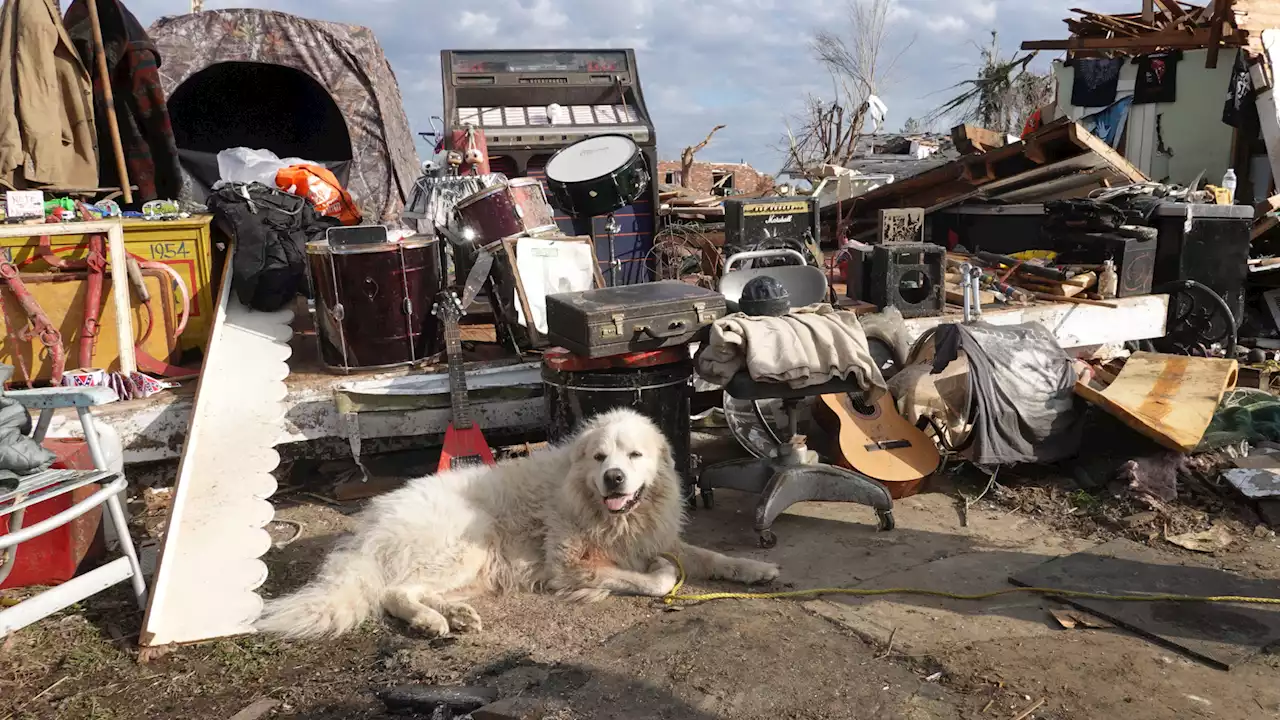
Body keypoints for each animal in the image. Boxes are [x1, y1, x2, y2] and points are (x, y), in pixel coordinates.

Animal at [257, 407, 778, 635]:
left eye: (634, 456)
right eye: (600, 457)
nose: (614, 478)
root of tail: (370, 523)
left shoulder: (653, 536)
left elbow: (710, 556)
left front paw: (755, 569)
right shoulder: (573, 566)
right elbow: (656, 579)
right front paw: (663, 574)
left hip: (475, 569)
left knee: (412, 590)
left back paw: (453, 616)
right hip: (470, 544)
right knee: (394, 592)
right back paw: (429, 621)